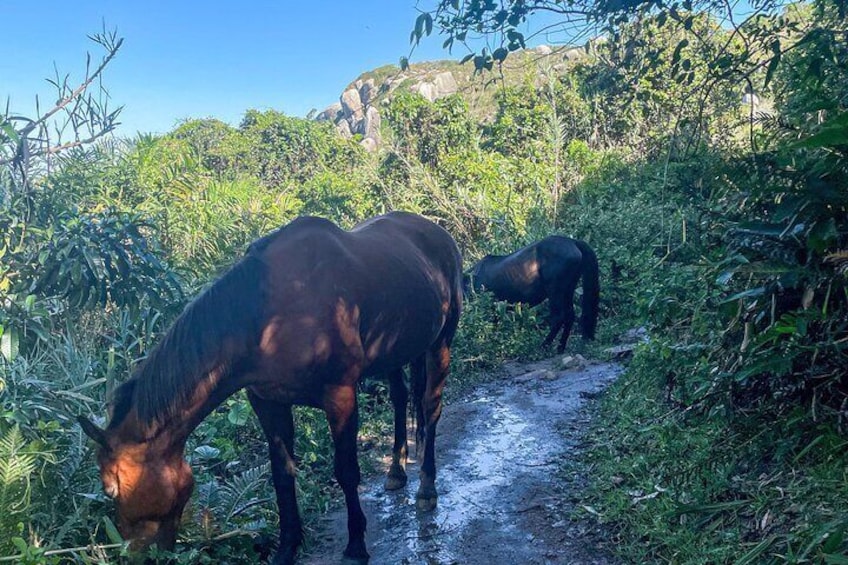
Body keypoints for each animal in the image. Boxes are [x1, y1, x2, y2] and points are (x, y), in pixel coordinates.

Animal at [78, 212, 464, 564]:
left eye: (111, 489)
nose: (134, 557)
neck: (269, 319)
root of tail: (437, 232)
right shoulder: (267, 402)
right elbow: (282, 475)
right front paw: (287, 547)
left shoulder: (340, 397)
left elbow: (346, 471)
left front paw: (356, 546)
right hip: (396, 352)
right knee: (400, 399)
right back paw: (396, 471)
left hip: (440, 343)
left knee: (430, 408)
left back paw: (427, 488)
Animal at [468, 235, 600, 350]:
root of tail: (573, 242)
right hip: (568, 290)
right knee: (570, 316)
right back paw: (560, 348)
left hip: (555, 291)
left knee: (559, 317)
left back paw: (544, 346)